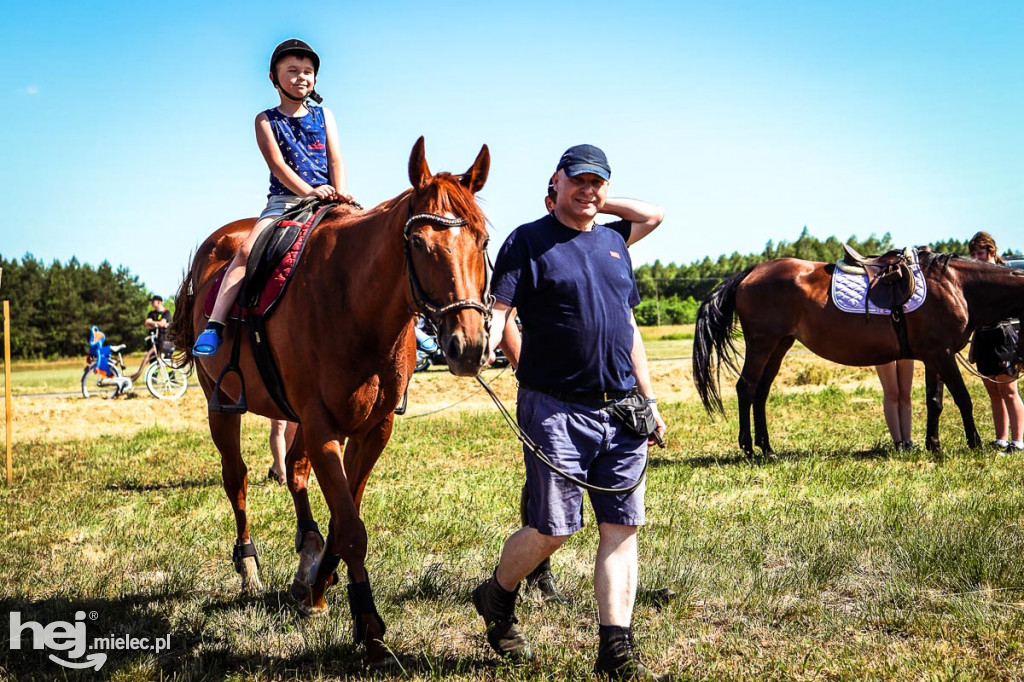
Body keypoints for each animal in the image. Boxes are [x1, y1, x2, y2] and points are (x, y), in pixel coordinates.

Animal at [169, 135, 493, 667]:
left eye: (483, 241)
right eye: (419, 244)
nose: (467, 346)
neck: (354, 303)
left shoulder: (371, 430)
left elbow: (346, 519)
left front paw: (318, 591)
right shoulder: (323, 428)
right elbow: (352, 528)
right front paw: (370, 629)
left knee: (295, 471)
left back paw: (308, 554)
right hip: (222, 405)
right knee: (236, 479)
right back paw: (249, 565)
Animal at [692, 248, 1024, 450]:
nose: (1014, 364)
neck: (955, 284)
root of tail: (751, 272)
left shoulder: (934, 357)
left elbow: (935, 401)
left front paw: (933, 444)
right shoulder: (942, 354)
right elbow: (963, 398)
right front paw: (974, 443)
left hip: (779, 346)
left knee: (760, 392)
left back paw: (766, 448)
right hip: (762, 344)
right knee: (746, 388)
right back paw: (749, 447)